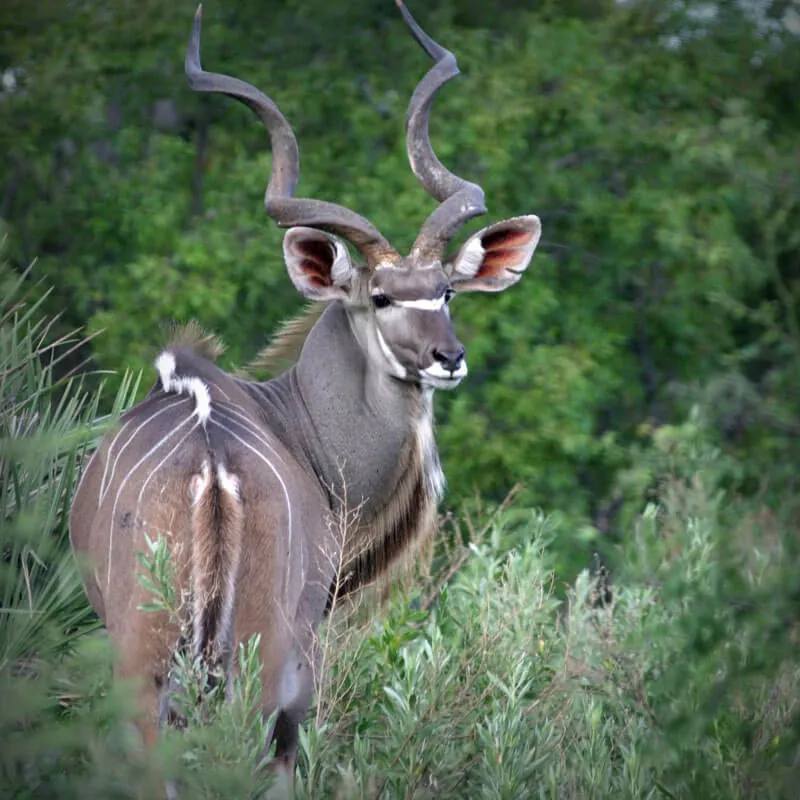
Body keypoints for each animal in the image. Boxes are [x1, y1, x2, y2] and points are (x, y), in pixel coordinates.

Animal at [70, 0, 544, 792]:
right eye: (380, 296)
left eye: (446, 290)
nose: (448, 358)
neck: (292, 420)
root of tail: (212, 472)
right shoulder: (308, 643)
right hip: (249, 657)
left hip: (158, 661)